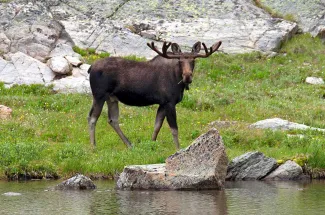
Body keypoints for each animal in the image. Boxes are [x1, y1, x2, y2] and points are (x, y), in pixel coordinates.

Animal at [87, 40, 221, 149]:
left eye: (193, 60)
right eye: (180, 61)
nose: (187, 76)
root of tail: (90, 68)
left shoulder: (162, 104)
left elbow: (157, 126)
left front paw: (152, 144)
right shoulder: (169, 102)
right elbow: (174, 129)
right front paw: (178, 148)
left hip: (112, 98)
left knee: (112, 120)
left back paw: (129, 144)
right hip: (99, 95)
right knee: (92, 118)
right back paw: (93, 146)